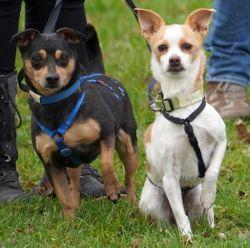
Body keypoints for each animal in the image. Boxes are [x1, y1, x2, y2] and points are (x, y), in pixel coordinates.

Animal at [13, 24, 138, 216]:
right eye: (36, 59)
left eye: (63, 58)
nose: (52, 78)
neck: (57, 104)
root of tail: (99, 73)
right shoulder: (51, 163)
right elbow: (63, 196)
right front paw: (69, 219)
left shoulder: (106, 133)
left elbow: (106, 162)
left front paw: (112, 188)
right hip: (73, 164)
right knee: (74, 184)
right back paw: (76, 202)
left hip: (128, 145)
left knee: (129, 178)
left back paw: (133, 204)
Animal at [138, 8, 228, 240]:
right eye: (162, 48)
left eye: (187, 46)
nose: (174, 59)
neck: (184, 109)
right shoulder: (170, 178)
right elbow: (179, 213)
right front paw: (187, 236)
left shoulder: (221, 142)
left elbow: (212, 172)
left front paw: (209, 195)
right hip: (152, 201)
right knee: (170, 217)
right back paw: (169, 232)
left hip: (195, 198)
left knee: (205, 213)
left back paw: (214, 229)